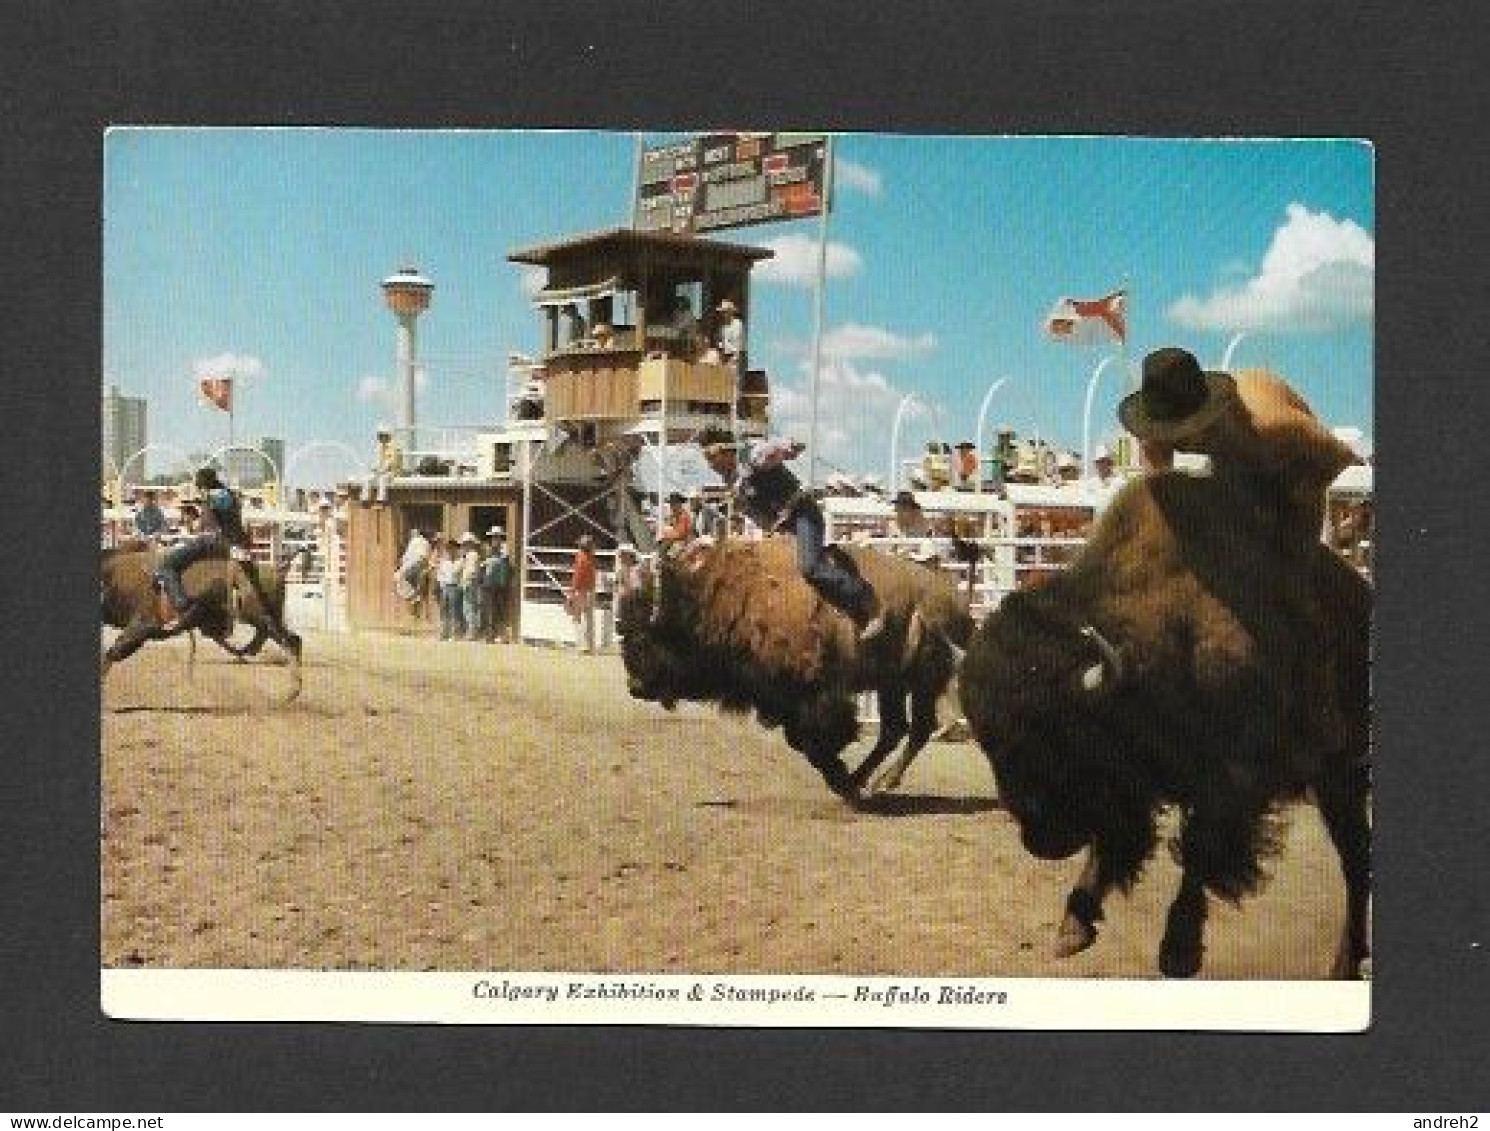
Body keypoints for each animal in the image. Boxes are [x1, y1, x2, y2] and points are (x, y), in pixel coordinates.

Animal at [100, 545, 303, 703]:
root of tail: (277, 569)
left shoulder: (142, 624)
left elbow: (113, 653)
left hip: (258, 615)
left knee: (289, 641)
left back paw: (291, 692)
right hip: (262, 617)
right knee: (285, 638)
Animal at [613, 539, 971, 804]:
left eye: (643, 637)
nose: (634, 686)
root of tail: (956, 599)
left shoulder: (815, 694)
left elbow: (814, 740)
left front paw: (839, 778)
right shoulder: (783, 700)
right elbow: (799, 741)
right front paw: (843, 781)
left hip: (922, 682)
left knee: (918, 729)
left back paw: (880, 783)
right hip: (892, 684)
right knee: (894, 729)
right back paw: (863, 782)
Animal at [959, 470, 1364, 983]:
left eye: (1058, 735)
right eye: (988, 745)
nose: (1042, 842)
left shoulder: (1233, 782)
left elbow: (1199, 850)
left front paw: (1178, 951)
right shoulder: (1135, 786)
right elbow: (1114, 842)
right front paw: (1072, 930)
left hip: (1341, 777)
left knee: (1356, 865)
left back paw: (1344, 966)